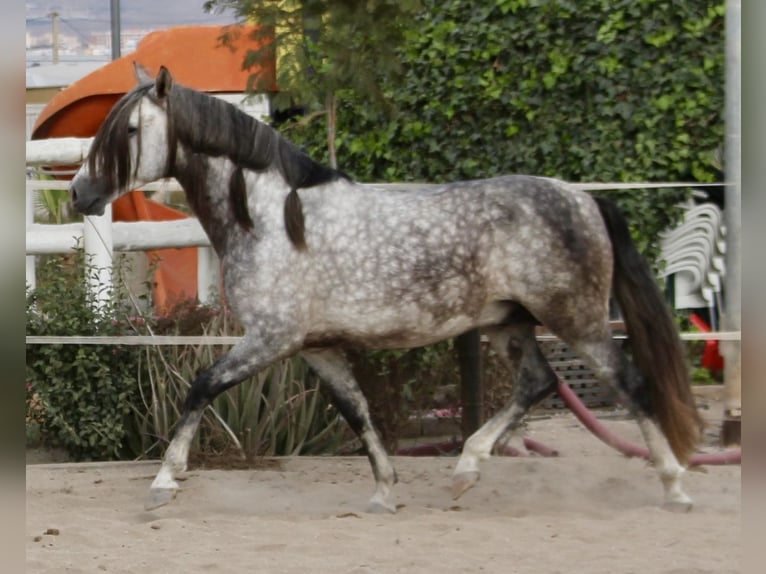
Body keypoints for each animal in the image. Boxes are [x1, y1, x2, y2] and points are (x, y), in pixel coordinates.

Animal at [69, 65, 704, 516]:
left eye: (129, 130)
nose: (79, 193)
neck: (274, 219)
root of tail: (583, 198)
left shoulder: (271, 338)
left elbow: (201, 387)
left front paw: (164, 481)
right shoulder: (315, 347)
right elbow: (357, 411)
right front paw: (383, 492)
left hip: (579, 321)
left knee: (630, 385)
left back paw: (675, 486)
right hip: (509, 322)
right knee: (538, 383)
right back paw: (467, 468)